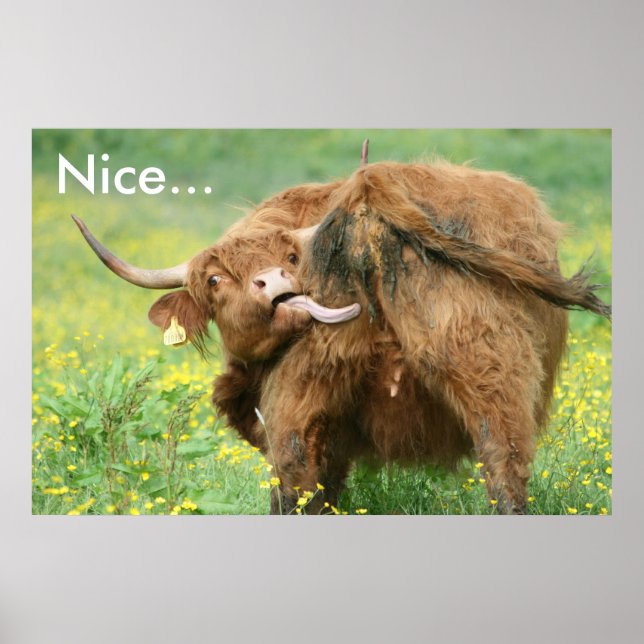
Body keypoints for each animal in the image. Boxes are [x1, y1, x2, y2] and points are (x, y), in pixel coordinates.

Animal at [73, 160, 611, 514]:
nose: (274, 280)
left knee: (293, 481)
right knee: (504, 465)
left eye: (290, 259)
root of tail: (373, 198)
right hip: (485, 374)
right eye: (215, 278)